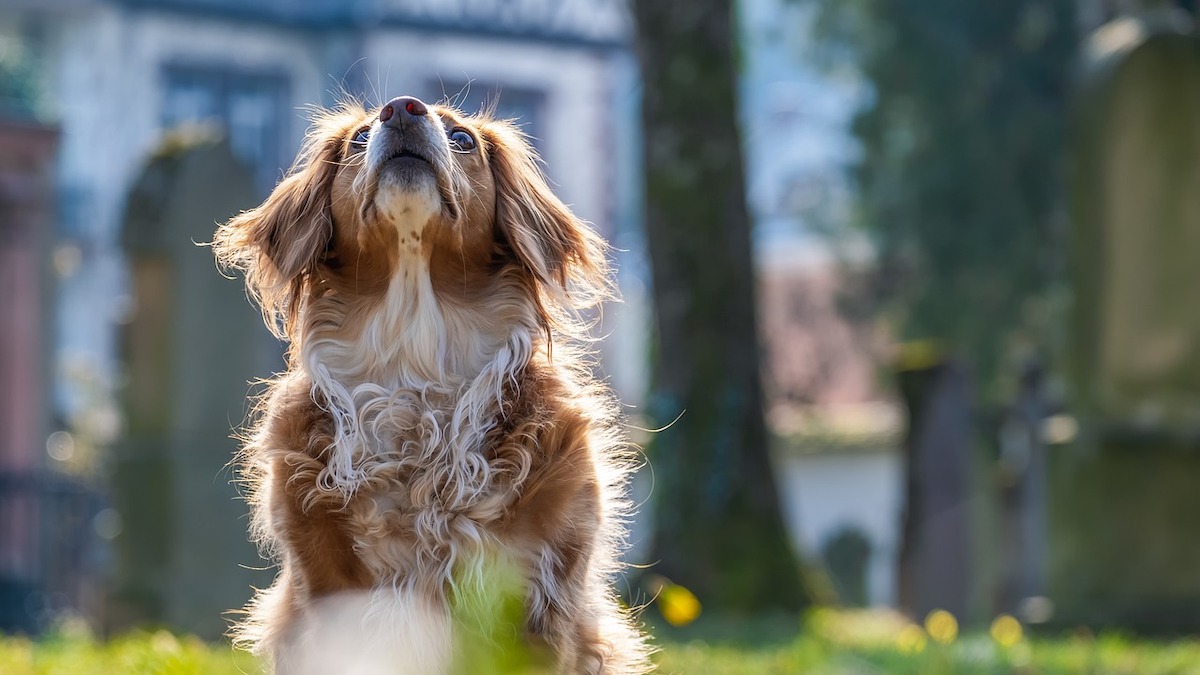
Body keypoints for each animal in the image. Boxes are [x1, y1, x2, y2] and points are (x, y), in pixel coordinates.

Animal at [211, 96, 652, 672]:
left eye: (463, 138)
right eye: (358, 139)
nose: (401, 108)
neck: (413, 360)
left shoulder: (539, 596)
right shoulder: (327, 595)